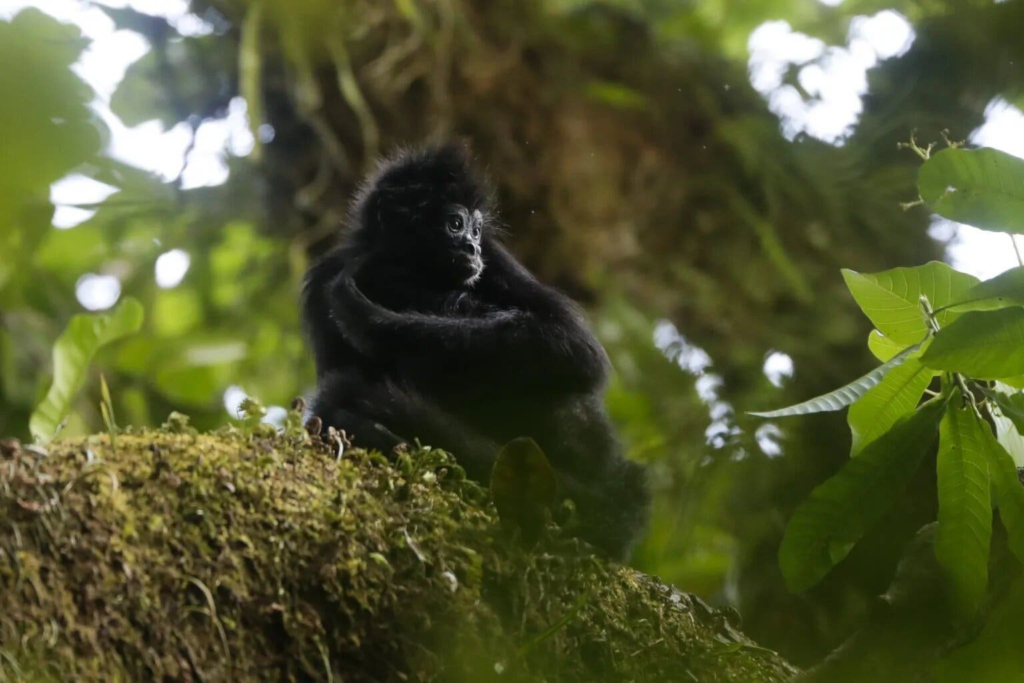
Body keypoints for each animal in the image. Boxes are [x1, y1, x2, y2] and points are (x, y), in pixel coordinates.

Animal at [299, 145, 647, 561]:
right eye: (455, 224)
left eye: (477, 230)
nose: (472, 247)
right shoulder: (325, 277)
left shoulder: (494, 257)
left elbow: (575, 345)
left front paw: (373, 322)